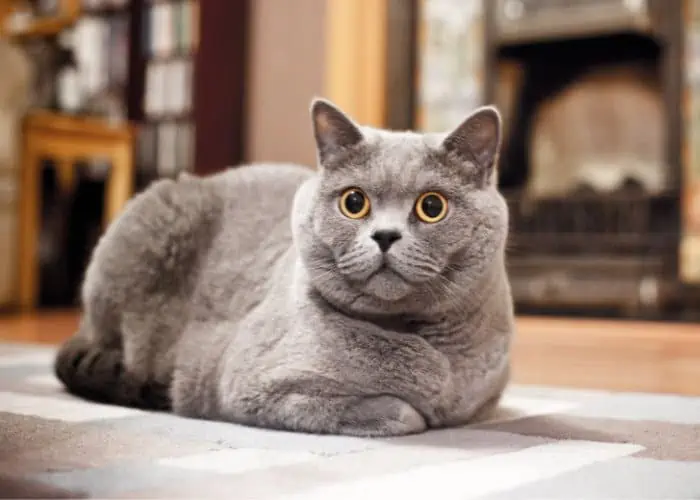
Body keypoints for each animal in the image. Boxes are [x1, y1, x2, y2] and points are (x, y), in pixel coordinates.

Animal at [56, 96, 516, 434]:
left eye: (432, 207)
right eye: (354, 202)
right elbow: (401, 413)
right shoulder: (246, 383)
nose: (385, 235)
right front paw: (413, 408)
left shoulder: (484, 398)